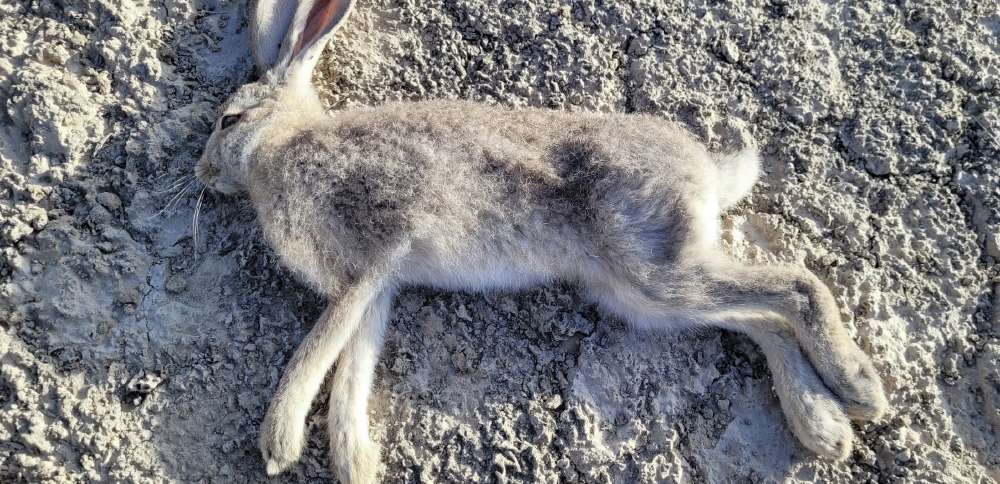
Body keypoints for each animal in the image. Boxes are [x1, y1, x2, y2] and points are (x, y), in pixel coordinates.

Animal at [194, 0, 889, 481]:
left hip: (655, 268)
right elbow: (354, 364)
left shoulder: (370, 261)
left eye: (230, 120)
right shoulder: (380, 287)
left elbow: (319, 348)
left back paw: (859, 389)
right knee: (762, 319)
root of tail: (709, 174)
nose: (200, 173)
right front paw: (356, 462)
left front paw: (279, 442)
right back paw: (824, 425)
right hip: (642, 297)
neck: (283, 147)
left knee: (796, 284)